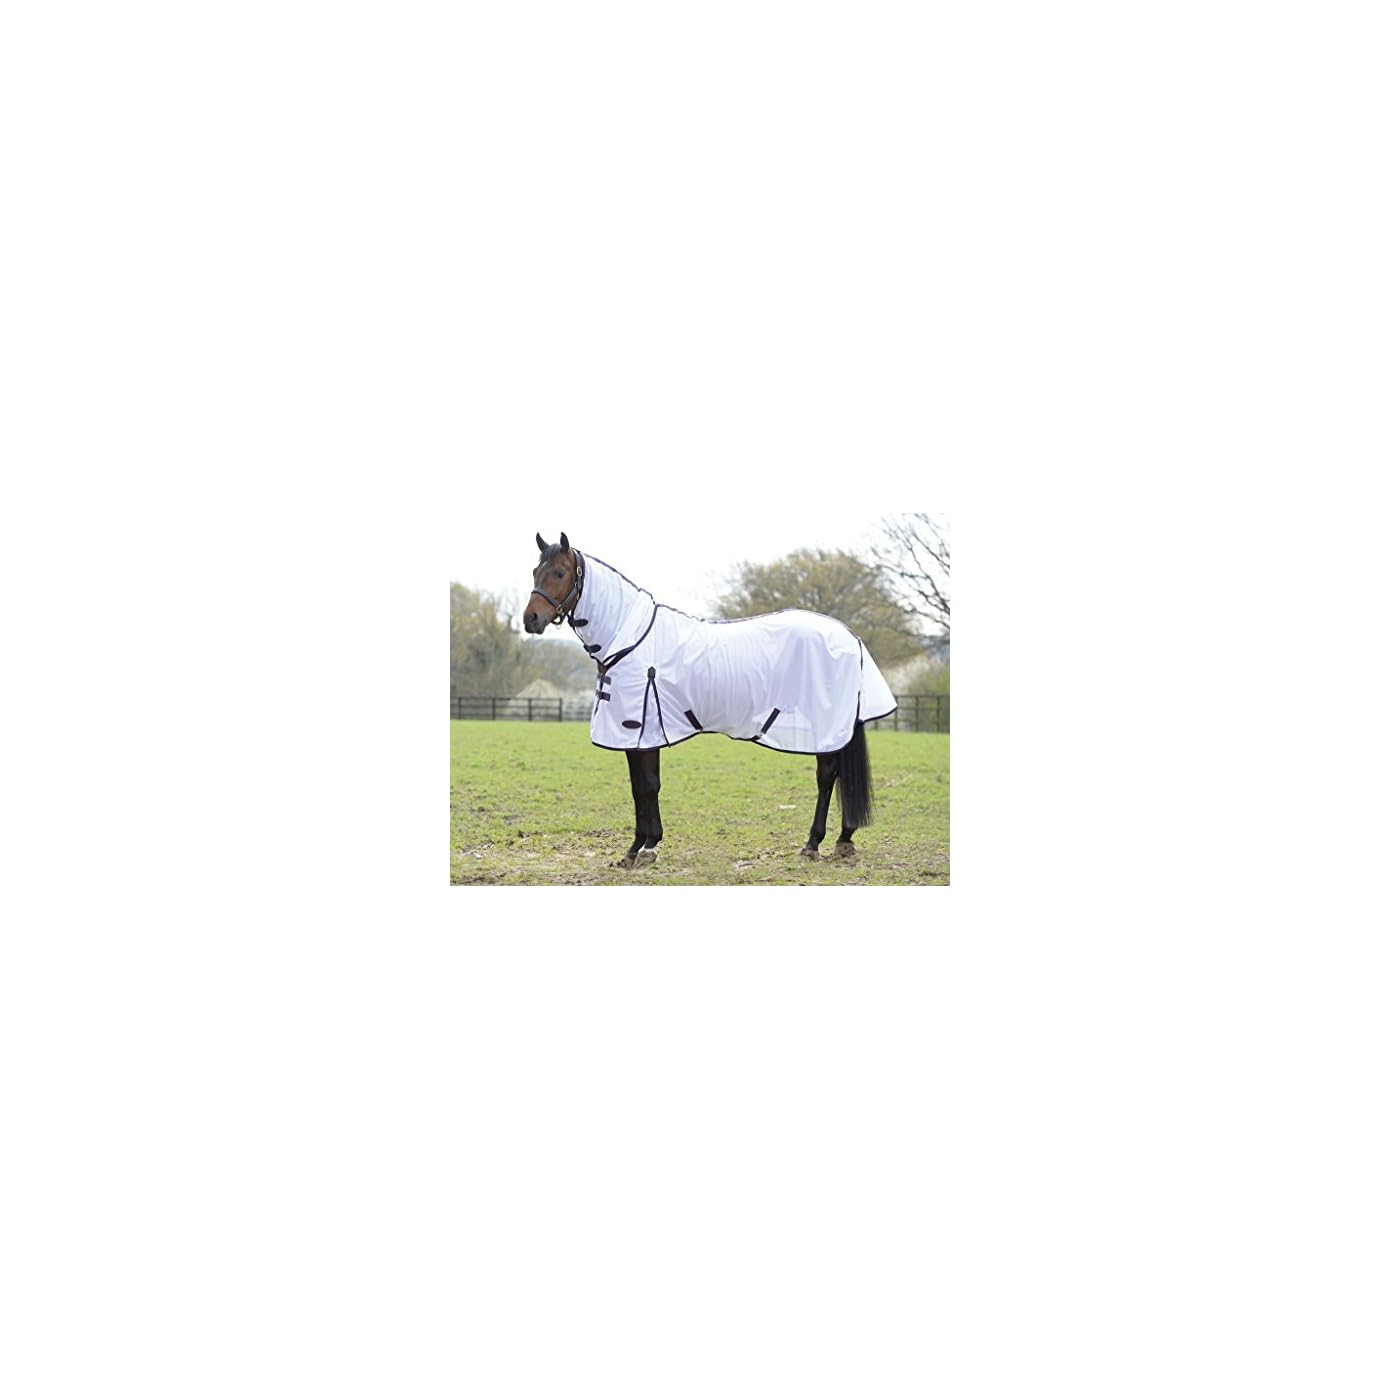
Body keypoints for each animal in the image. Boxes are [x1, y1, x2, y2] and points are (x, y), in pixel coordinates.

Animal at [523, 532, 898, 869]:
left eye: (560, 573)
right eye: (535, 571)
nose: (531, 620)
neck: (630, 639)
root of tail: (850, 636)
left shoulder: (640, 730)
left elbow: (646, 787)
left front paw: (643, 848)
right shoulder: (641, 735)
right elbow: (642, 787)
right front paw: (641, 847)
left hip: (825, 722)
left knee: (827, 775)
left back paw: (814, 843)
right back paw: (842, 840)